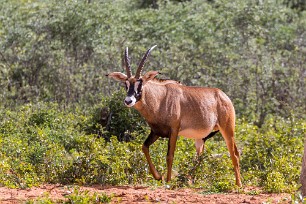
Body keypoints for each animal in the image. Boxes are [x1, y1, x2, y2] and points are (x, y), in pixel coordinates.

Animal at [106, 45, 243, 187]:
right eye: (126, 84)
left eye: (140, 83)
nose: (128, 101)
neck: (160, 98)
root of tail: (223, 96)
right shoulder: (156, 132)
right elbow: (144, 147)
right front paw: (158, 176)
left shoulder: (174, 130)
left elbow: (169, 155)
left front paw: (168, 180)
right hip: (201, 138)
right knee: (201, 156)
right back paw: (190, 180)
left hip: (227, 130)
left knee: (234, 153)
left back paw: (238, 184)